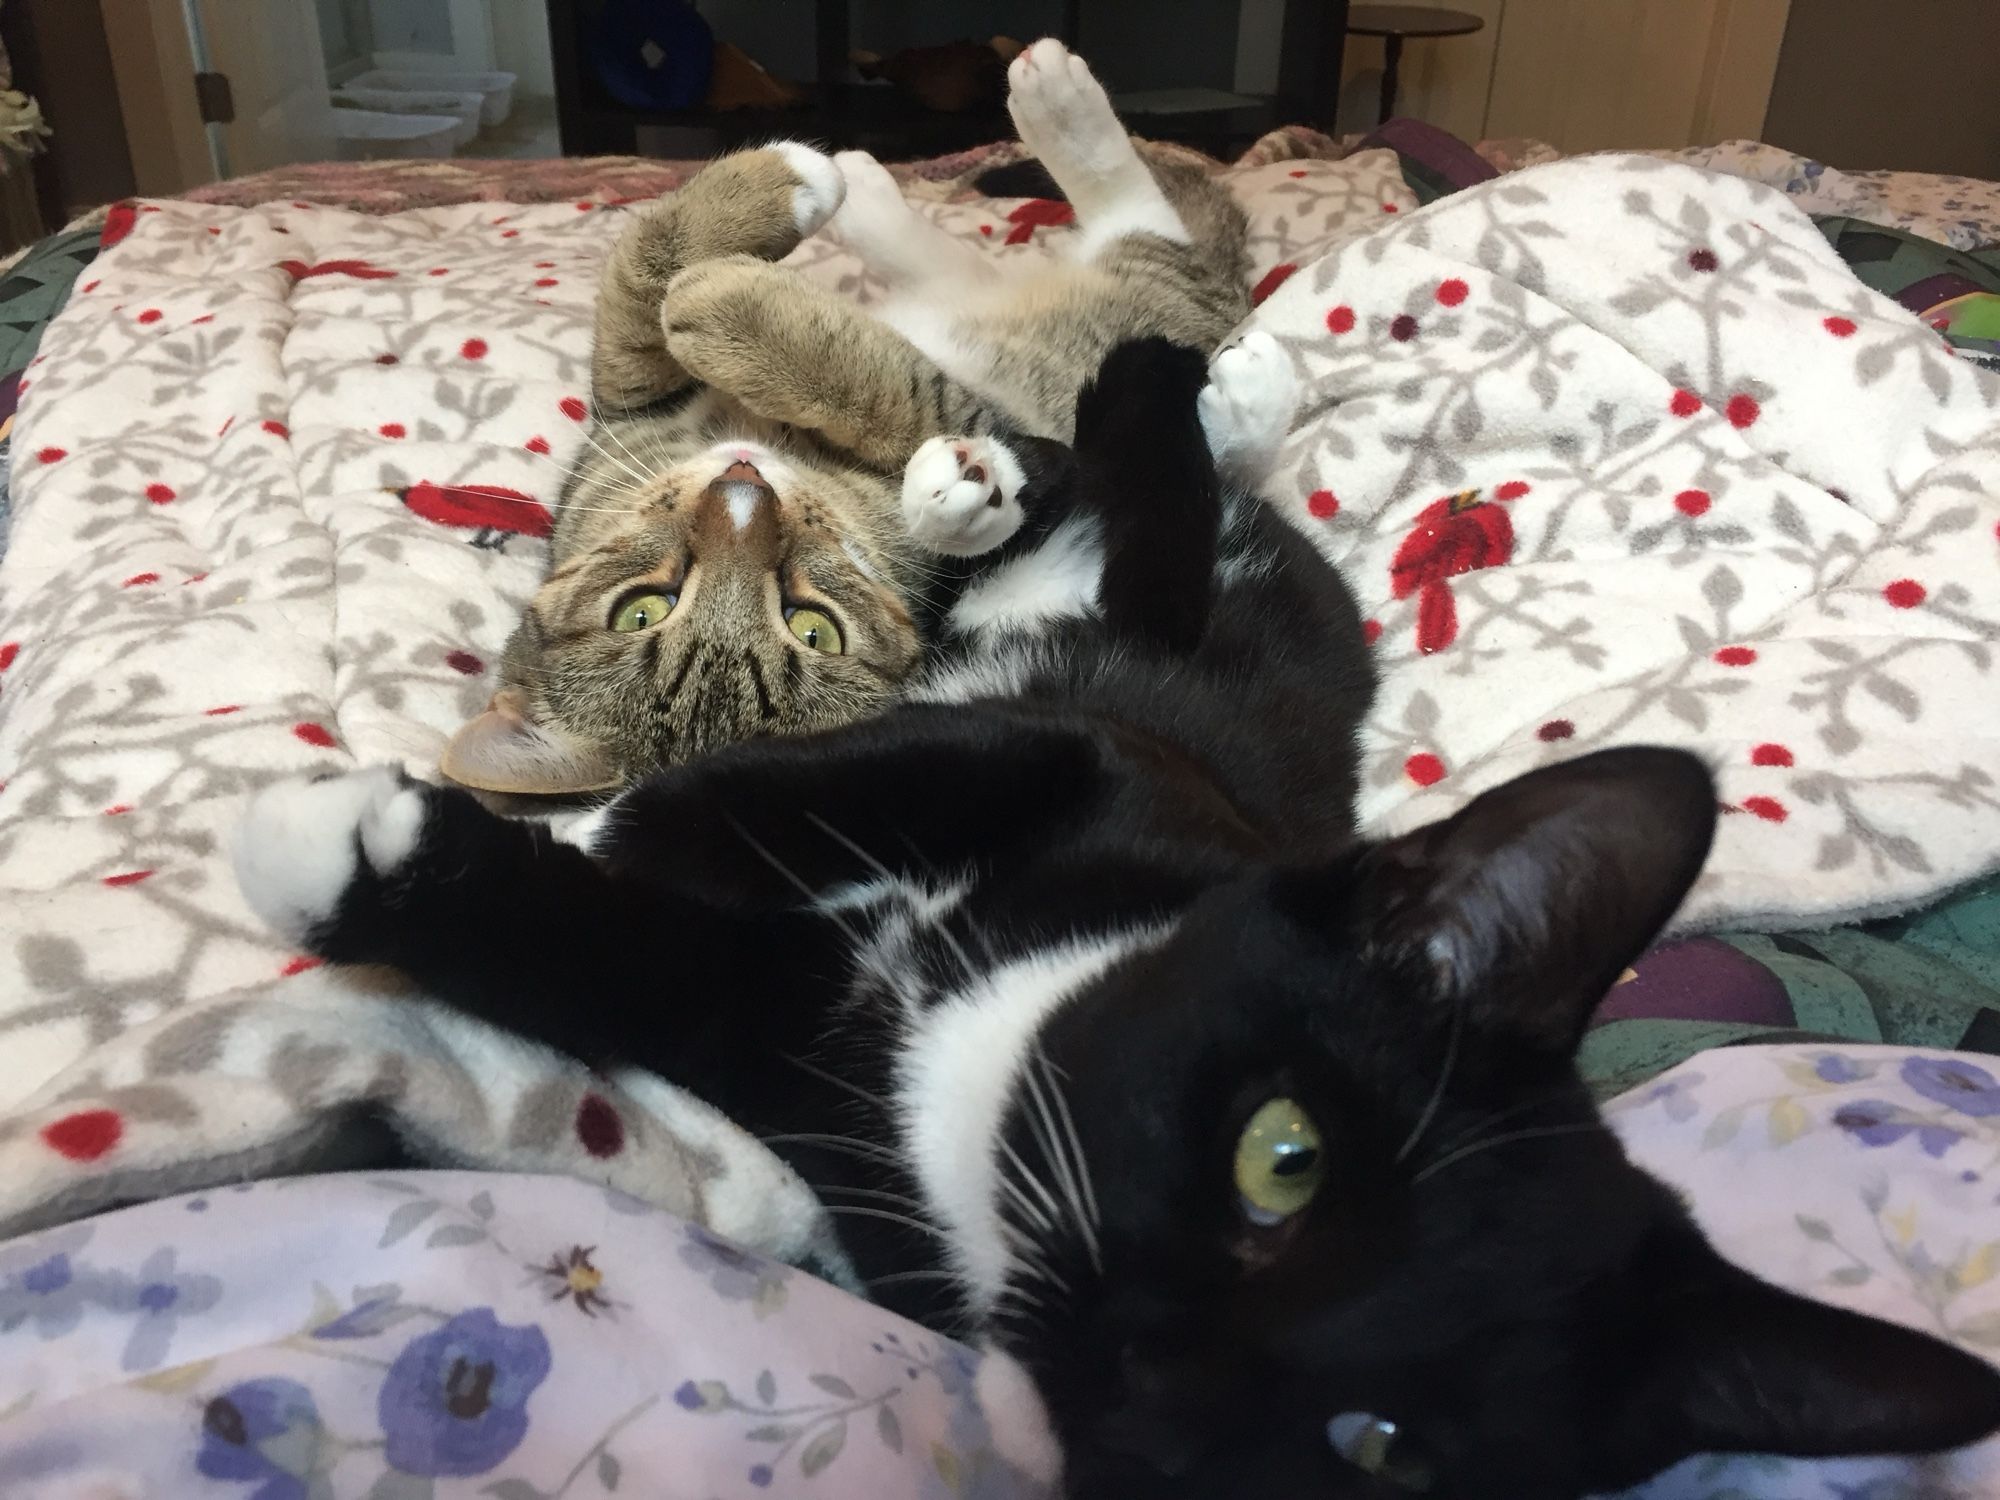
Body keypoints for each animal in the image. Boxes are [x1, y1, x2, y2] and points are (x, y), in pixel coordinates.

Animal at [448, 38, 1256, 800]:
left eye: (642, 610)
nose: (743, 494)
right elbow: (903, 392)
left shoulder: (629, 399)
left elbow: (643, 272)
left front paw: (755, 232)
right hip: (1145, 300)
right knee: (1134, 225)